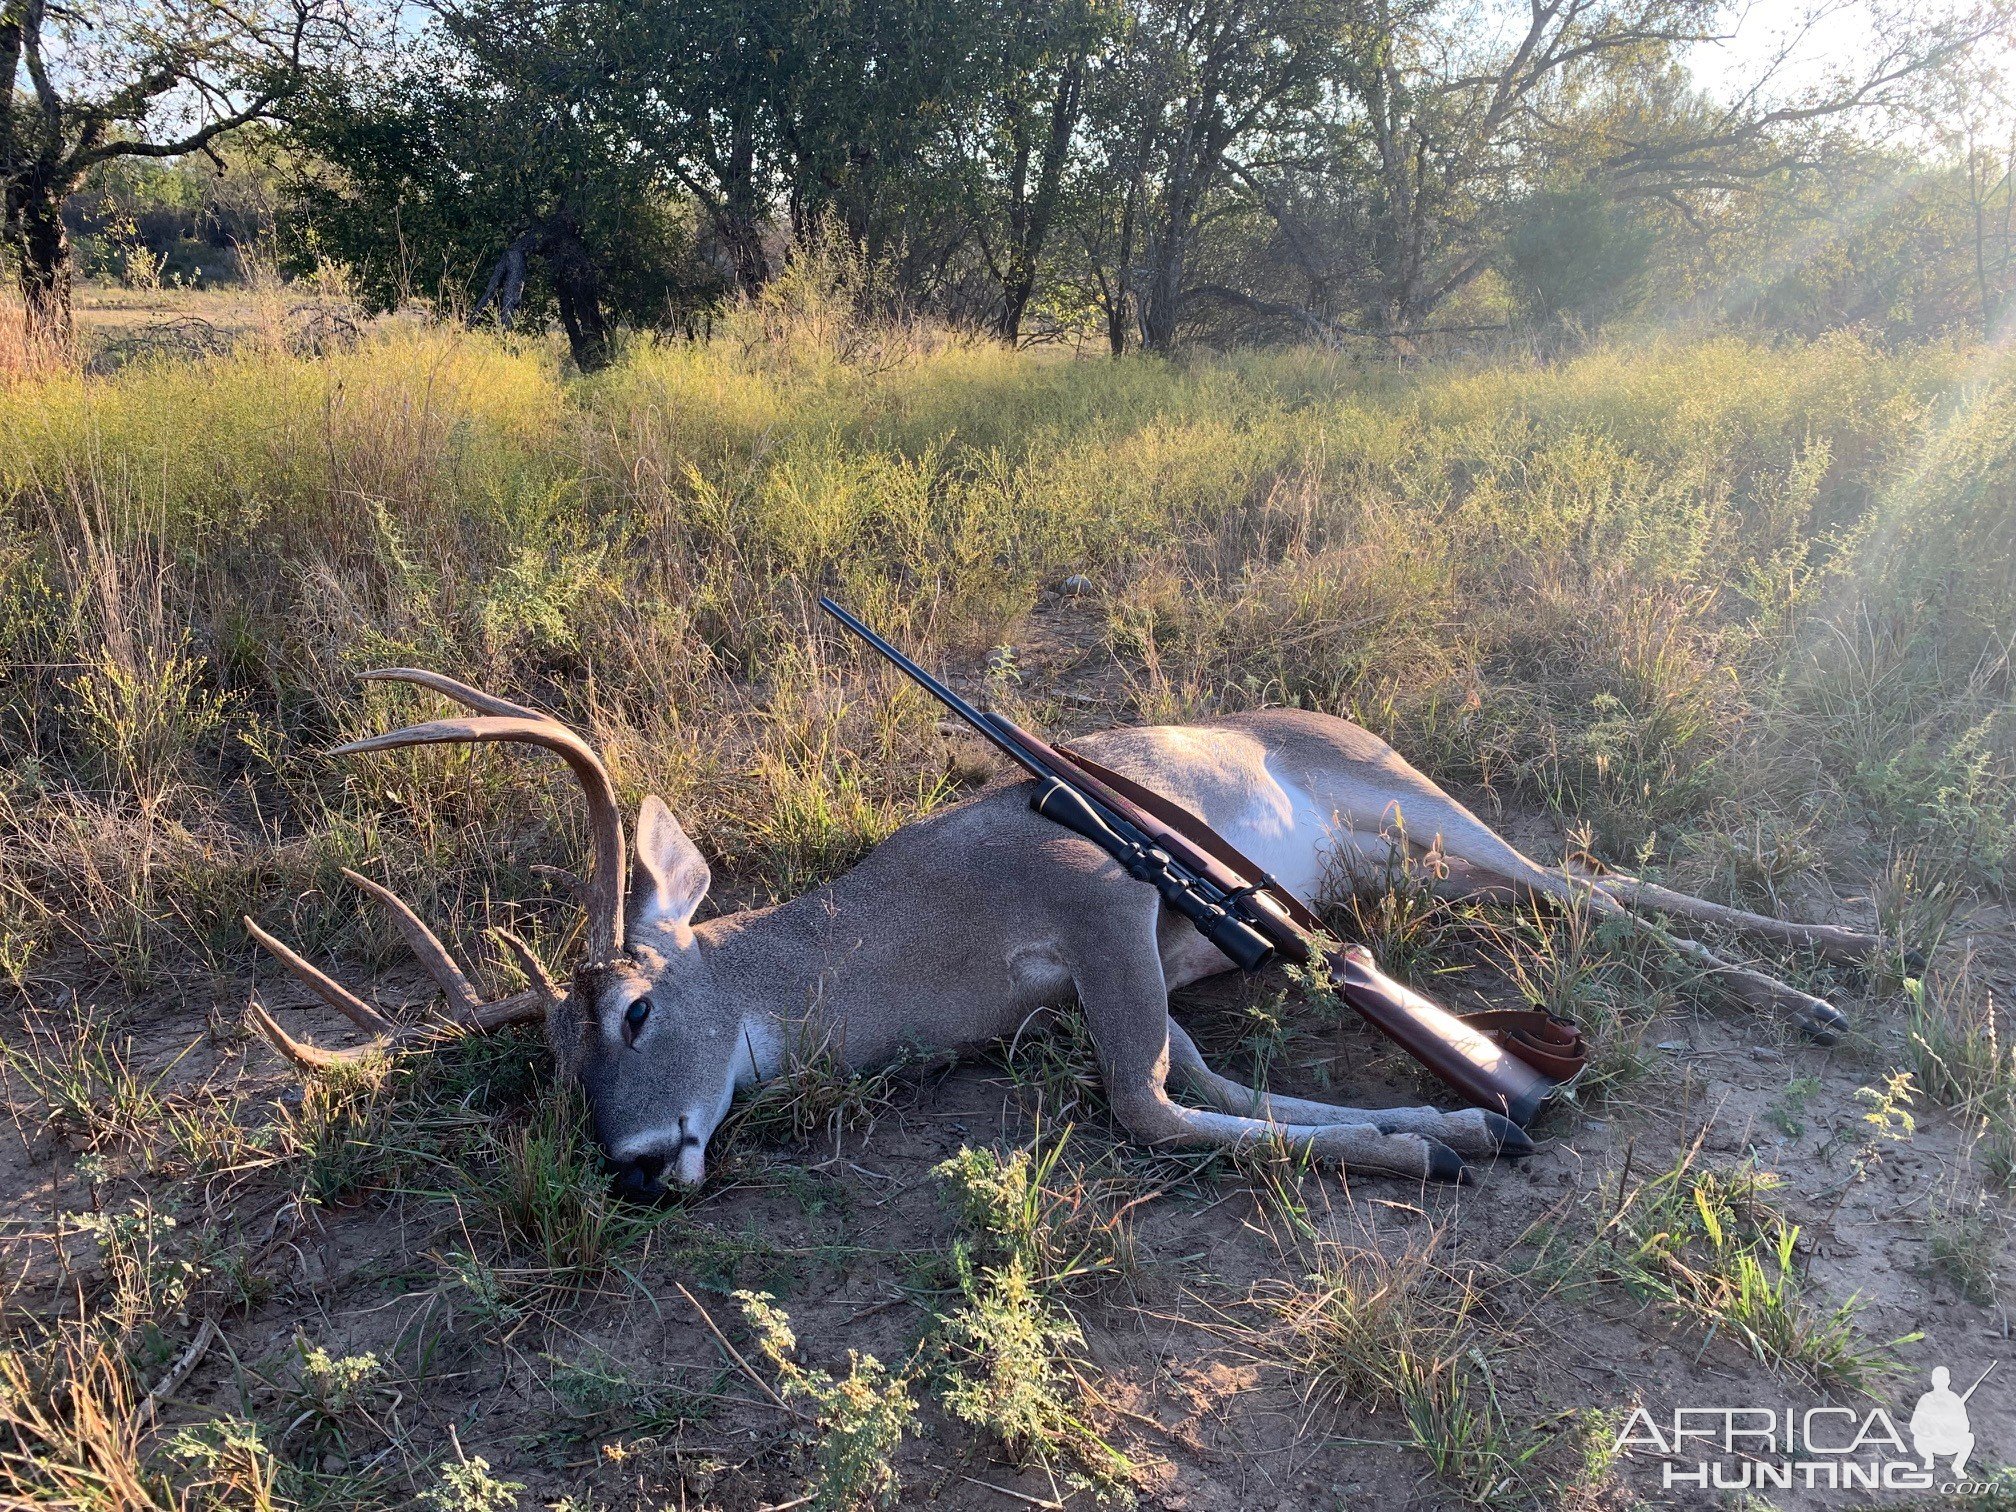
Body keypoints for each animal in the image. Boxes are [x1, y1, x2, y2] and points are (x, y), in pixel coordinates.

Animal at [243, 669, 1878, 1193]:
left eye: (635, 1009)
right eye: (554, 1069)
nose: (639, 1167)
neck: (903, 957)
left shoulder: (1100, 896)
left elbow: (1143, 1102)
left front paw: (1436, 1140)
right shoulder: (1148, 960)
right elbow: (1203, 1082)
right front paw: (1455, 1120)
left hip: (1417, 806)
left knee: (1586, 883)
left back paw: (1841, 978)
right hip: (1404, 872)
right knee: (1578, 885)